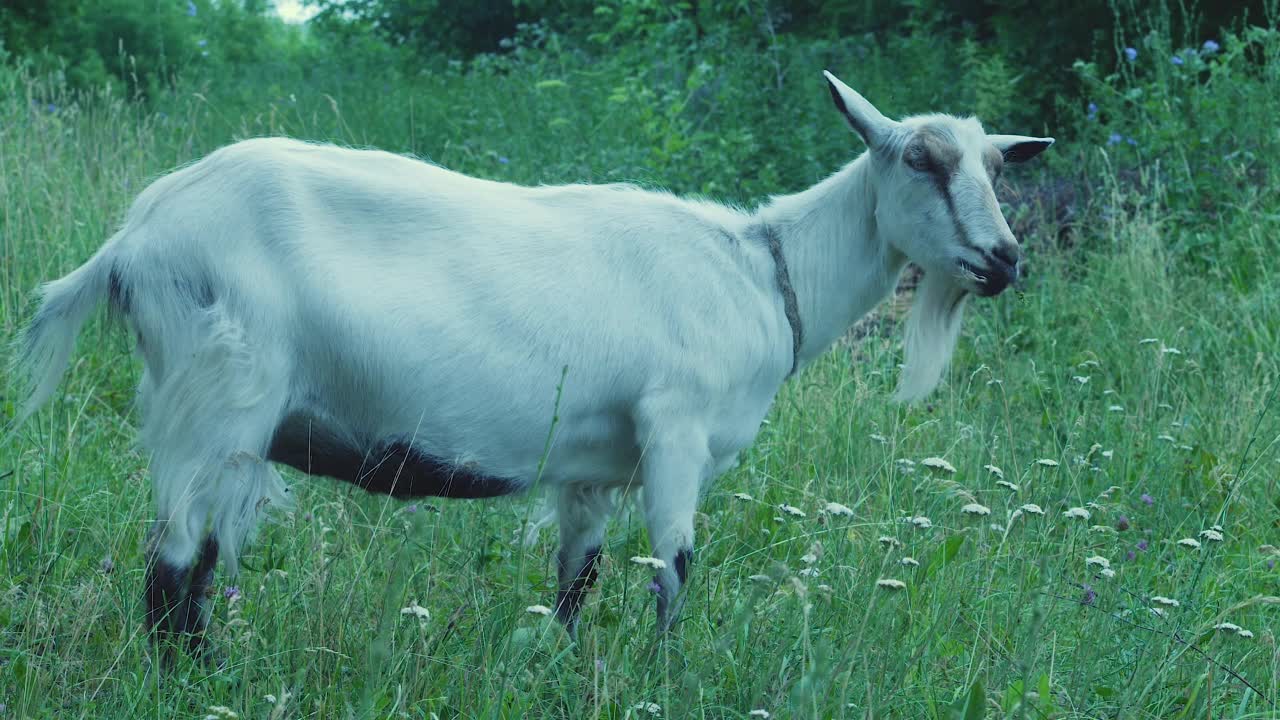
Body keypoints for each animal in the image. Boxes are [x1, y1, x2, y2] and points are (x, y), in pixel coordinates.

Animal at [10, 73, 1049, 645]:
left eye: (997, 166)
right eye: (919, 160)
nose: (1004, 260)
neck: (765, 270)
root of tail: (133, 241)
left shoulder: (593, 467)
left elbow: (576, 583)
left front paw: (562, 666)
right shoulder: (674, 429)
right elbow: (674, 572)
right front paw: (661, 675)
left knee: (197, 564)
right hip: (219, 392)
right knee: (172, 568)